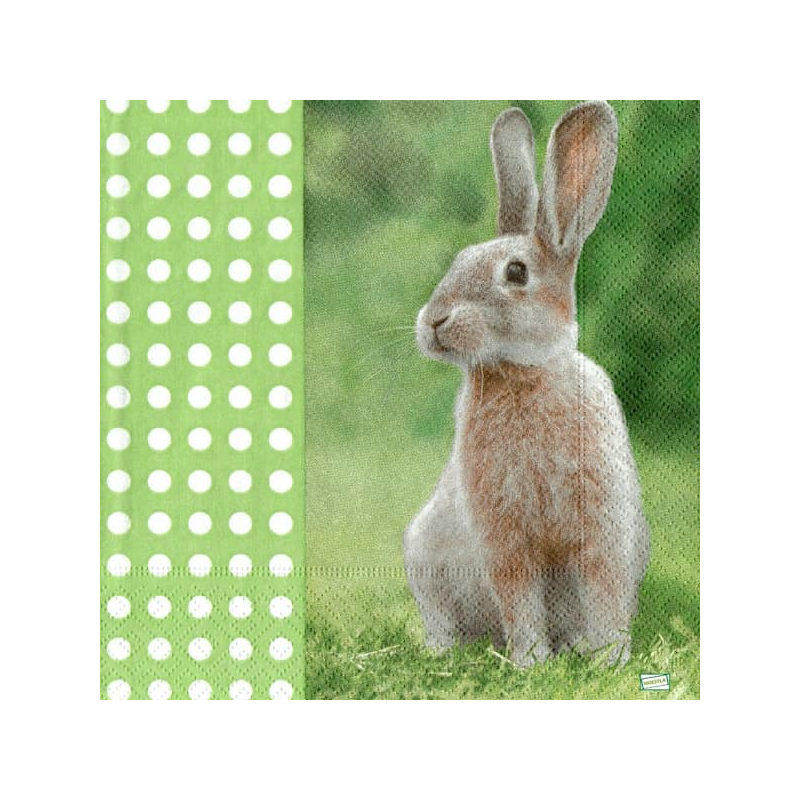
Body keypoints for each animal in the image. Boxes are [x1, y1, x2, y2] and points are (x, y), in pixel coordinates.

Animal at [404, 101, 650, 667]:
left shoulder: (602, 527)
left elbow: (605, 591)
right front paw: (531, 662)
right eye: (458, 260)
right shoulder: (505, 536)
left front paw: (608, 658)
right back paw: (442, 652)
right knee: (443, 621)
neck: (523, 372)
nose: (434, 320)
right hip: (423, 564)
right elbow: (518, 597)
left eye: (516, 273)